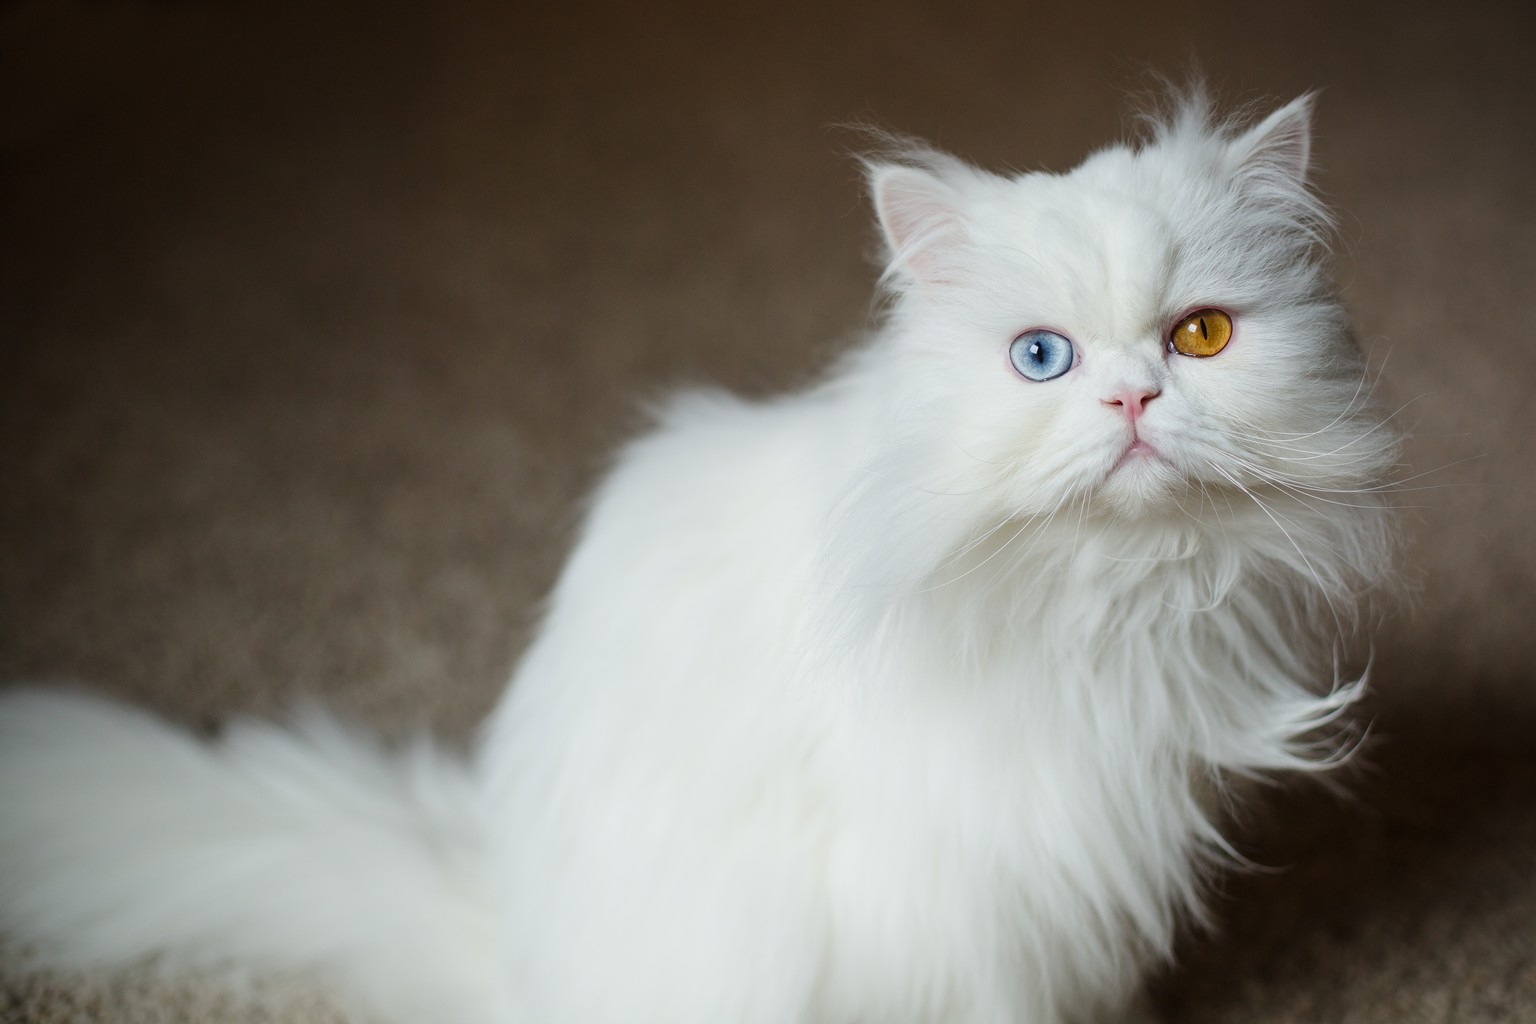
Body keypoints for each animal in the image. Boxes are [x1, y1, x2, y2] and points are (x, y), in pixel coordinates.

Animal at [0, 90, 1400, 1024]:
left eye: (1201, 336)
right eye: (1041, 358)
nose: (1130, 401)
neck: (1108, 600)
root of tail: (518, 959)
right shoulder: (975, 891)